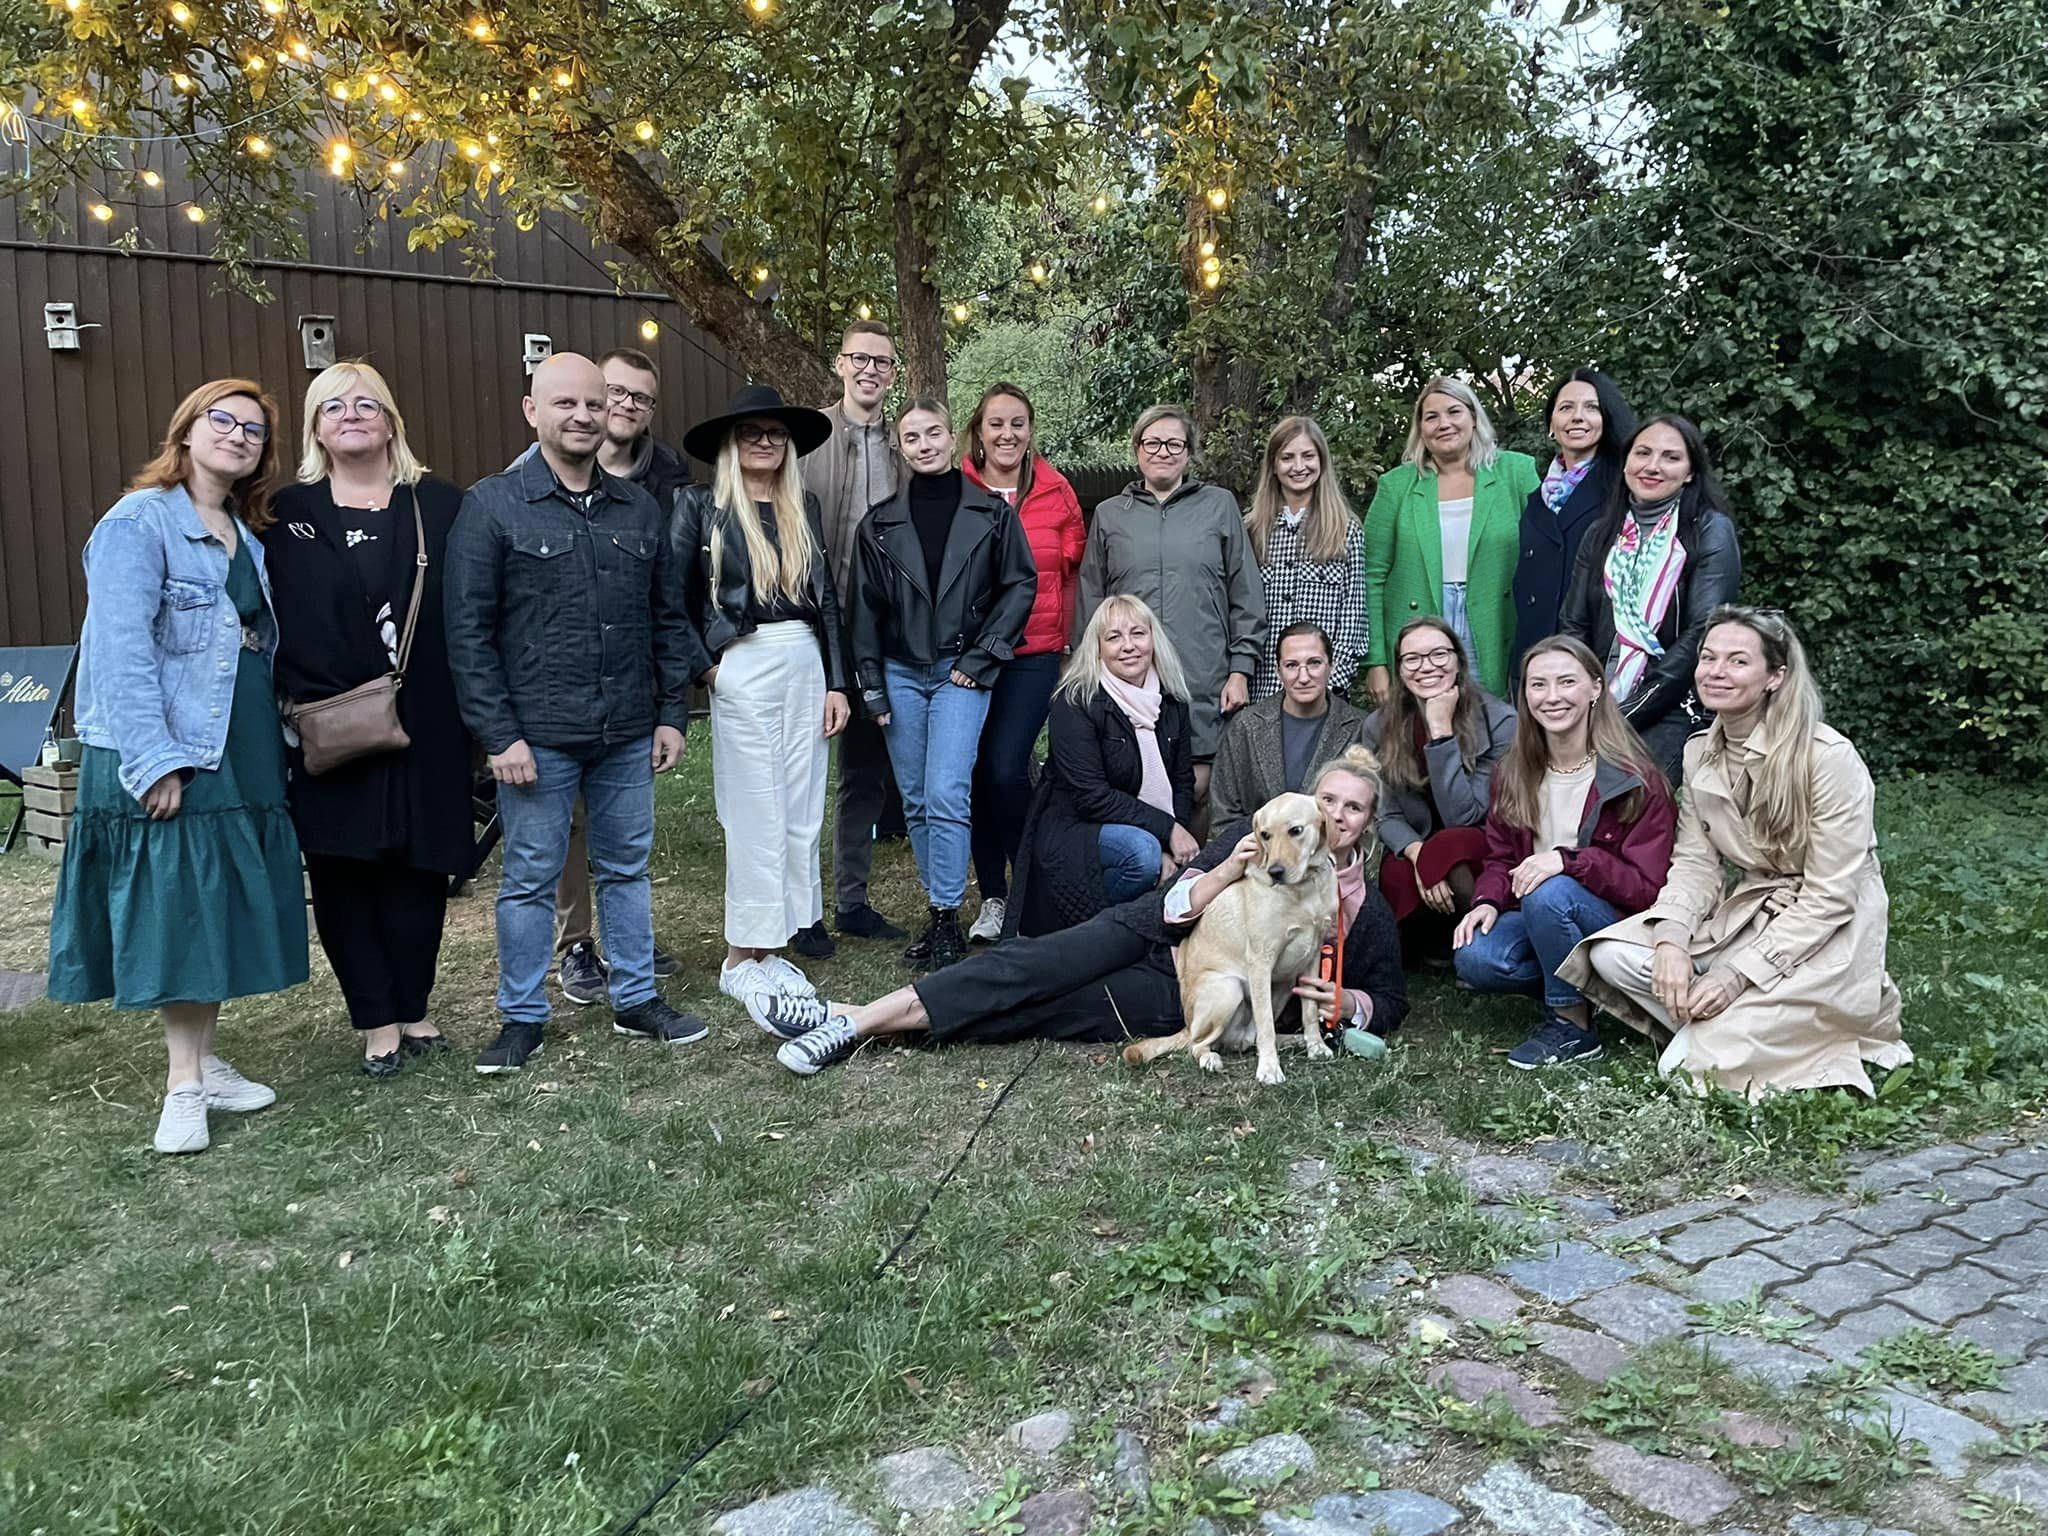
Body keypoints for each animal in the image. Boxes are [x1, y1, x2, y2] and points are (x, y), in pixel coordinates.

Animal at [1121, 792, 1339, 1086]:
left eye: (1296, 831)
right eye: (1265, 835)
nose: (1275, 872)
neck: (1305, 888)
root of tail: (1187, 1025)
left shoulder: (1312, 957)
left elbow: (1310, 1011)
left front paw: (1316, 1046)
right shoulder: (1260, 961)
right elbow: (1266, 1023)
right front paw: (1269, 1069)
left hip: (1283, 983)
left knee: (1252, 1037)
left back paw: (1293, 1041)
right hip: (1228, 989)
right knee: (1199, 1044)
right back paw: (1210, 1059)